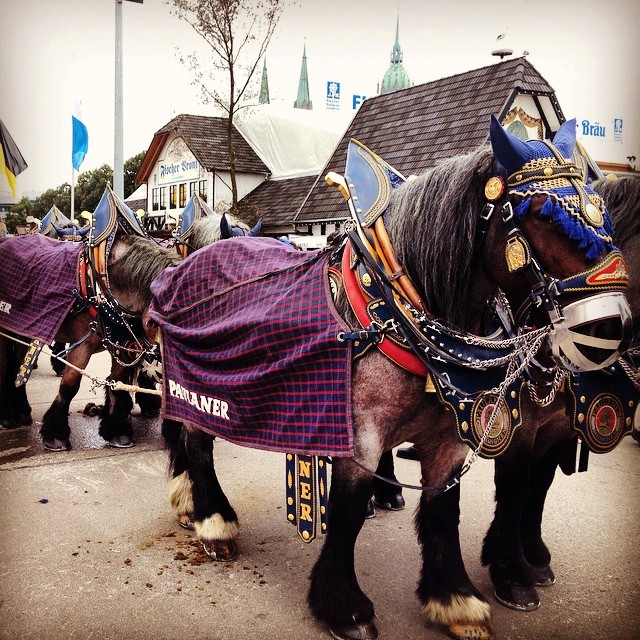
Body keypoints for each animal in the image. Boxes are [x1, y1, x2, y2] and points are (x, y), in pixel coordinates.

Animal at [481, 174, 640, 613]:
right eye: (542, 217)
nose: (612, 326)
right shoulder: (517, 430)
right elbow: (515, 490)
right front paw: (510, 572)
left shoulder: (559, 430)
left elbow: (540, 485)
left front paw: (533, 554)